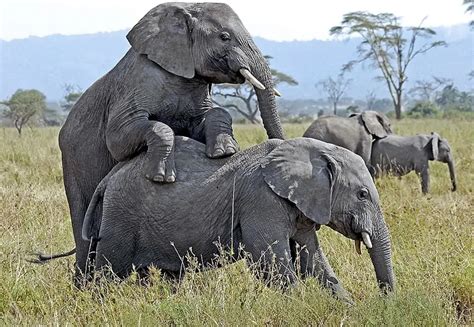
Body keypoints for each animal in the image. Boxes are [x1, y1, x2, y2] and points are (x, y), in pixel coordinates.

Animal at [57, 1, 284, 282]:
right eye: (224, 37)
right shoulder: (140, 80)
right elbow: (120, 138)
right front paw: (162, 176)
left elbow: (214, 115)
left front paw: (225, 151)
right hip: (72, 164)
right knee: (85, 237)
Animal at [82, 136, 396, 298]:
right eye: (363, 195)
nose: (384, 299)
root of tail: (109, 178)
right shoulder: (261, 200)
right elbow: (272, 263)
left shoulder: (302, 205)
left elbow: (315, 260)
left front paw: (347, 308)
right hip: (121, 217)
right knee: (109, 272)